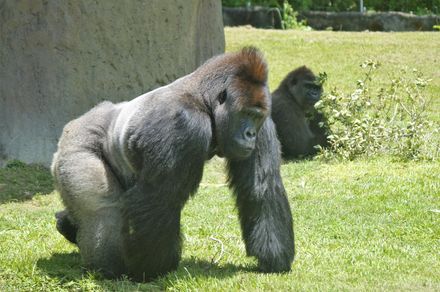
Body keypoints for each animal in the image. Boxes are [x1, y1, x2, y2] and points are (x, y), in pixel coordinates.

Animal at [52, 47, 296, 280]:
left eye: (256, 117)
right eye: (245, 114)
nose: (250, 134)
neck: (203, 100)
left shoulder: (265, 122)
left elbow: (261, 187)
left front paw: (274, 257)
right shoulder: (184, 124)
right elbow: (159, 199)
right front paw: (151, 269)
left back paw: (67, 224)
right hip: (76, 145)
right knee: (103, 212)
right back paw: (107, 266)